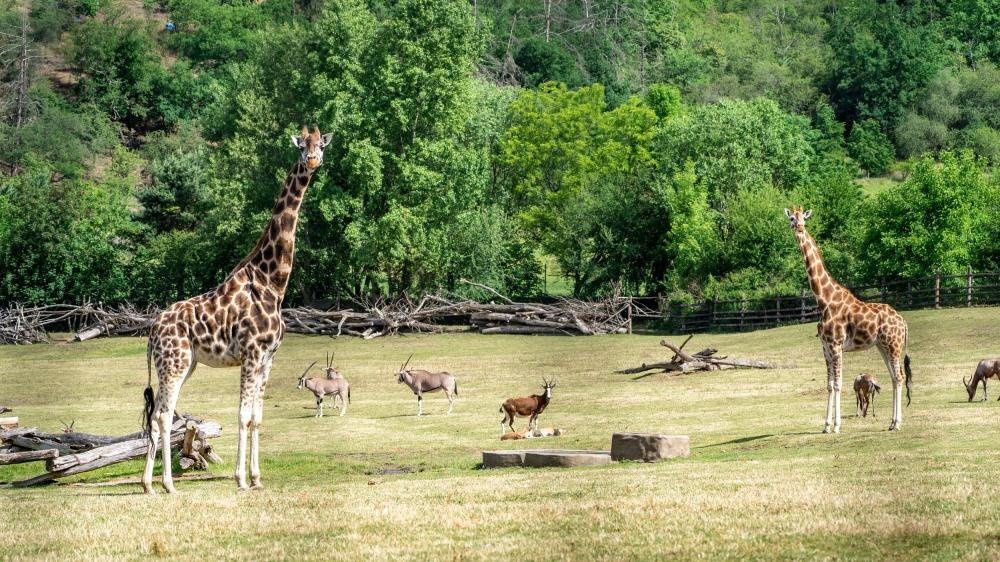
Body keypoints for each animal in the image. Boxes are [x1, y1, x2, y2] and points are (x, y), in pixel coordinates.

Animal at [142, 123, 332, 490]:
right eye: (302, 146)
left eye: (321, 145)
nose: (313, 161)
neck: (273, 283)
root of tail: (153, 331)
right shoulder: (251, 353)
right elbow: (243, 415)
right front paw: (240, 479)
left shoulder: (268, 358)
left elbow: (257, 417)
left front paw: (256, 478)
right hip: (174, 363)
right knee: (162, 415)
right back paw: (166, 484)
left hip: (183, 364)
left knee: (159, 414)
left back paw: (150, 485)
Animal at [788, 208, 916, 430]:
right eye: (791, 218)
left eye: (804, 217)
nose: (800, 227)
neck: (824, 299)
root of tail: (904, 323)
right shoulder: (825, 348)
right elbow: (829, 385)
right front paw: (826, 425)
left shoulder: (836, 345)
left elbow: (838, 385)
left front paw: (837, 426)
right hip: (883, 346)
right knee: (894, 377)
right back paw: (892, 422)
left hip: (894, 345)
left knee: (899, 377)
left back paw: (898, 423)